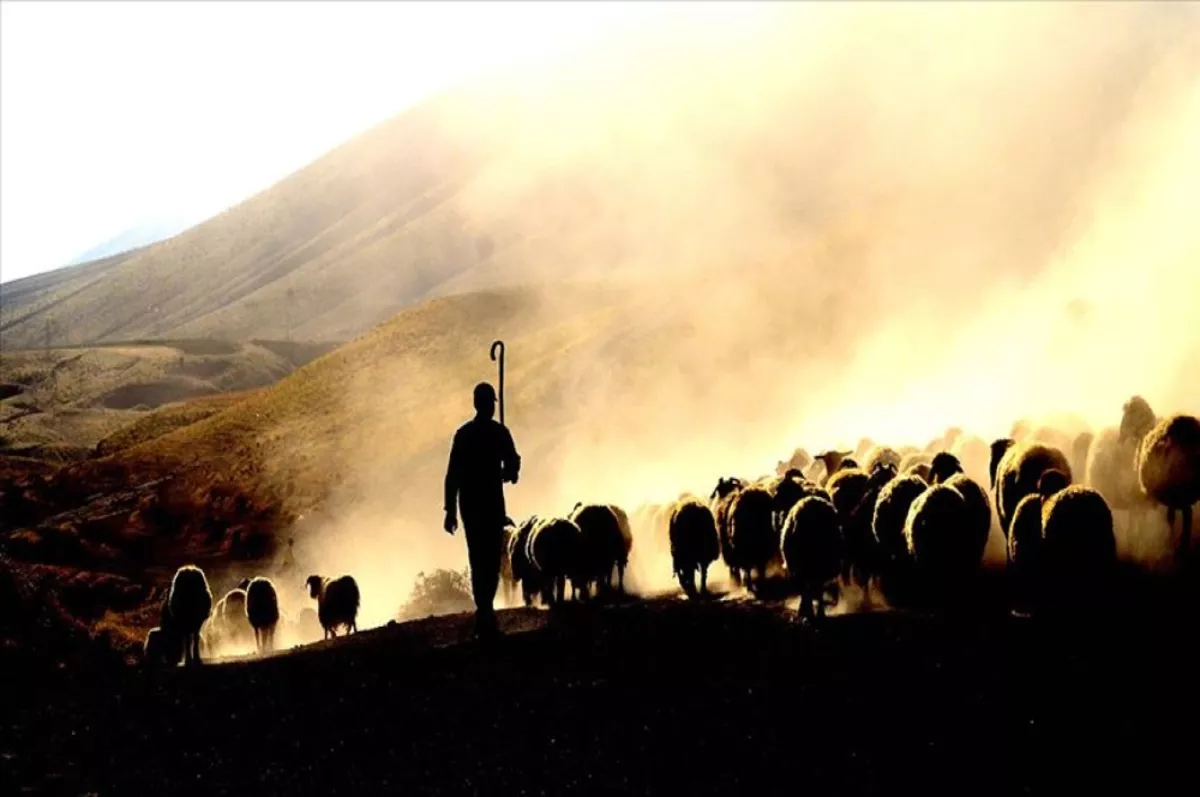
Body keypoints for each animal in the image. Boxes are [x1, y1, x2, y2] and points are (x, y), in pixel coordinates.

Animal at [1132, 412, 1200, 556]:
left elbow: (1170, 518)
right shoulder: (1172, 499)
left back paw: (1183, 547)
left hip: (1181, 487)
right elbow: (1171, 517)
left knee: (1188, 515)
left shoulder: (1171, 495)